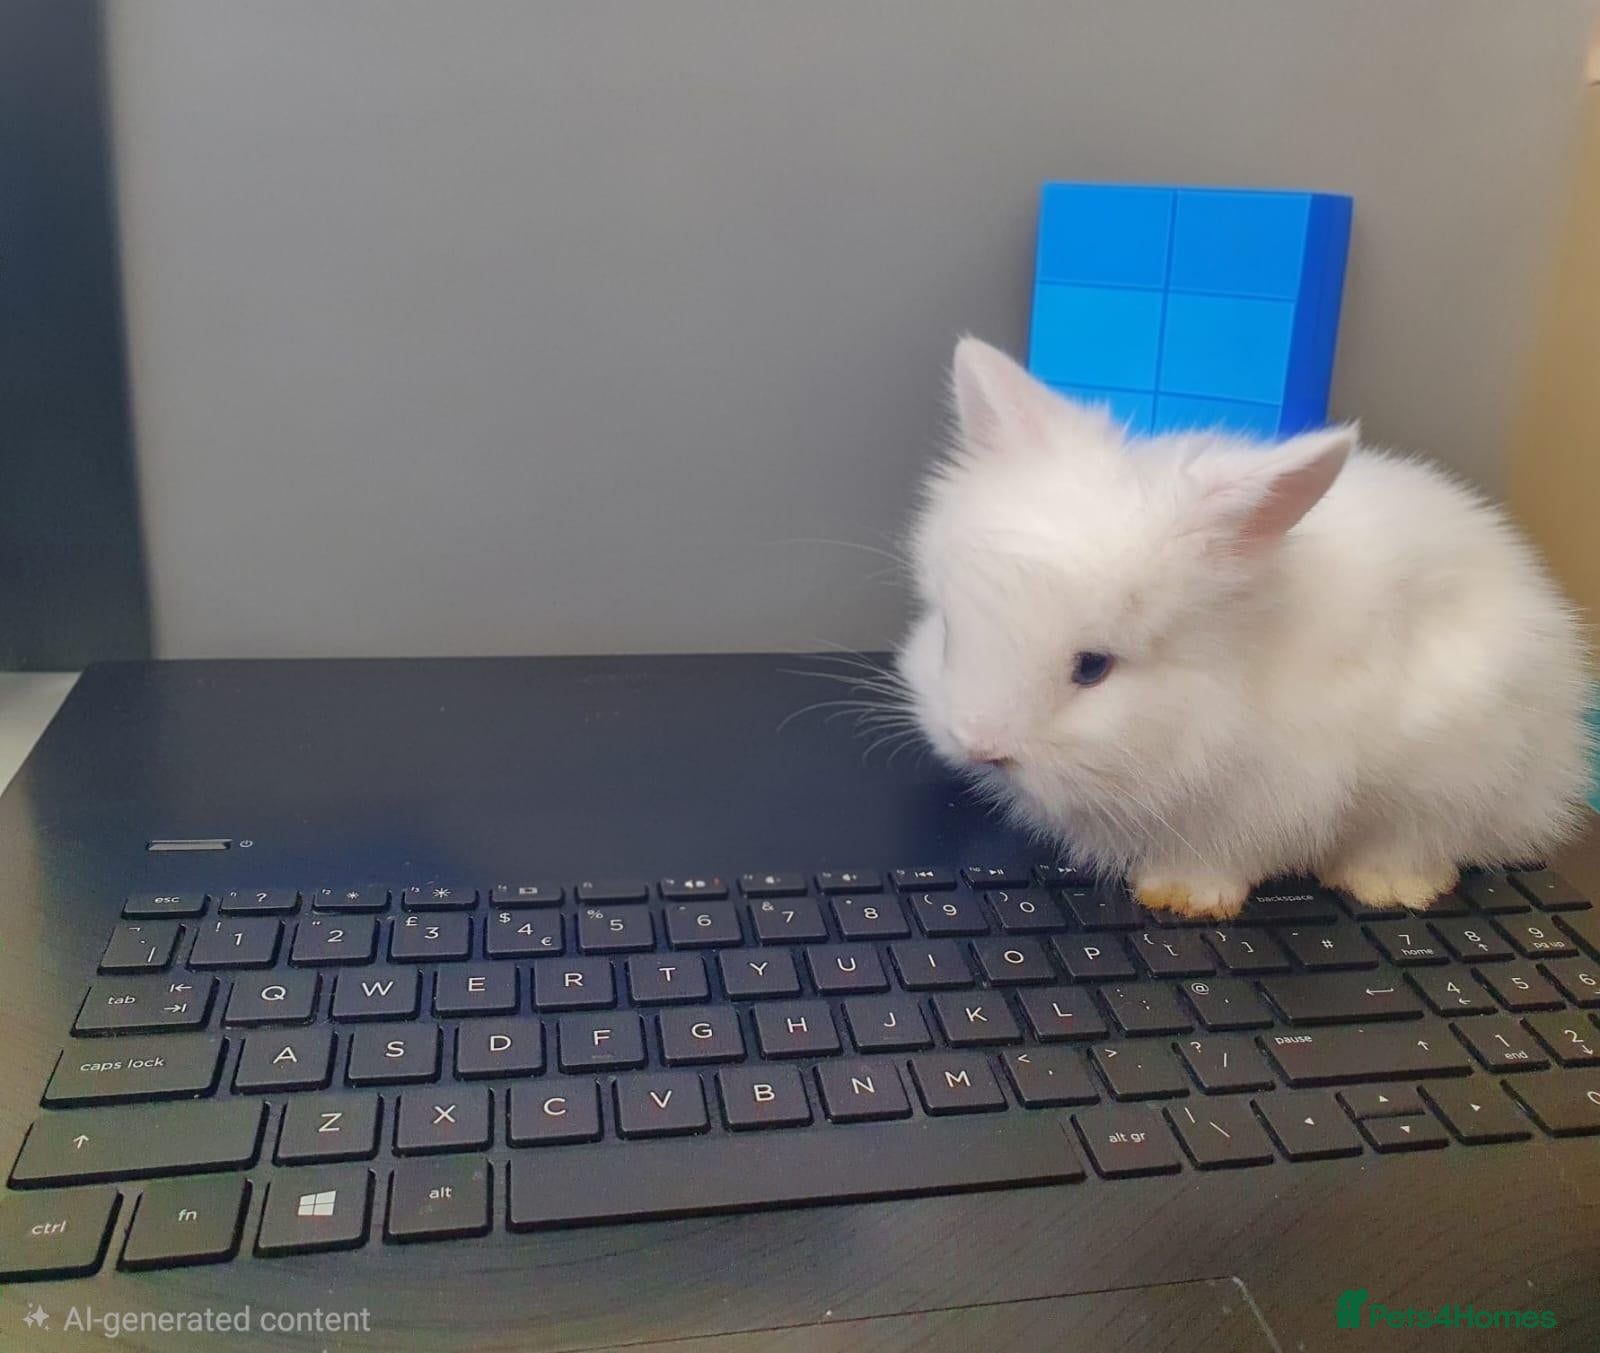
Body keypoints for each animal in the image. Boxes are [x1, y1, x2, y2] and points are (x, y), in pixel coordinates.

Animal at [896, 336, 1592, 918]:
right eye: (951, 631)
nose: (980, 745)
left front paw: (1183, 897)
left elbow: (1224, 858)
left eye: (1093, 667)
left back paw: (1388, 888)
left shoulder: (1270, 795)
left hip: (1458, 772)